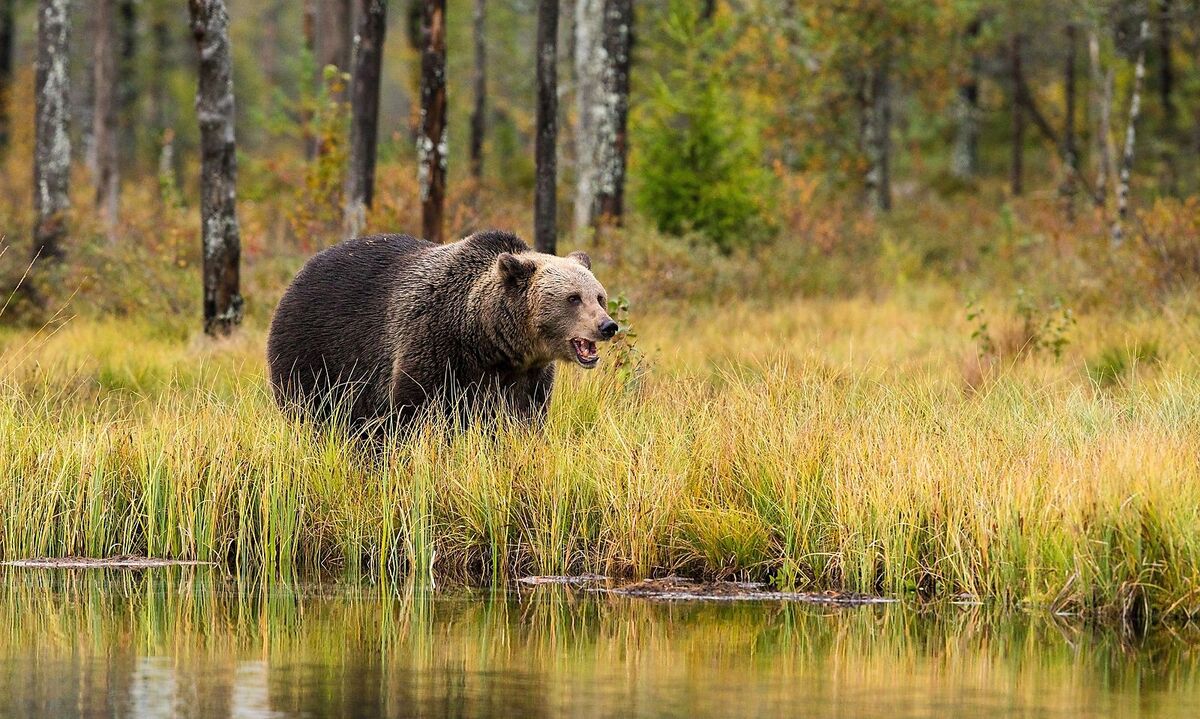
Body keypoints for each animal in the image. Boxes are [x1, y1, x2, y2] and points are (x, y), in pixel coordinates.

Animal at [266, 230, 618, 431]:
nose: (607, 325)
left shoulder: (526, 376)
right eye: (573, 298)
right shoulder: (433, 345)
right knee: (311, 409)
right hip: (315, 349)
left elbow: (524, 418)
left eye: (599, 296)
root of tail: (302, 271)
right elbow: (414, 409)